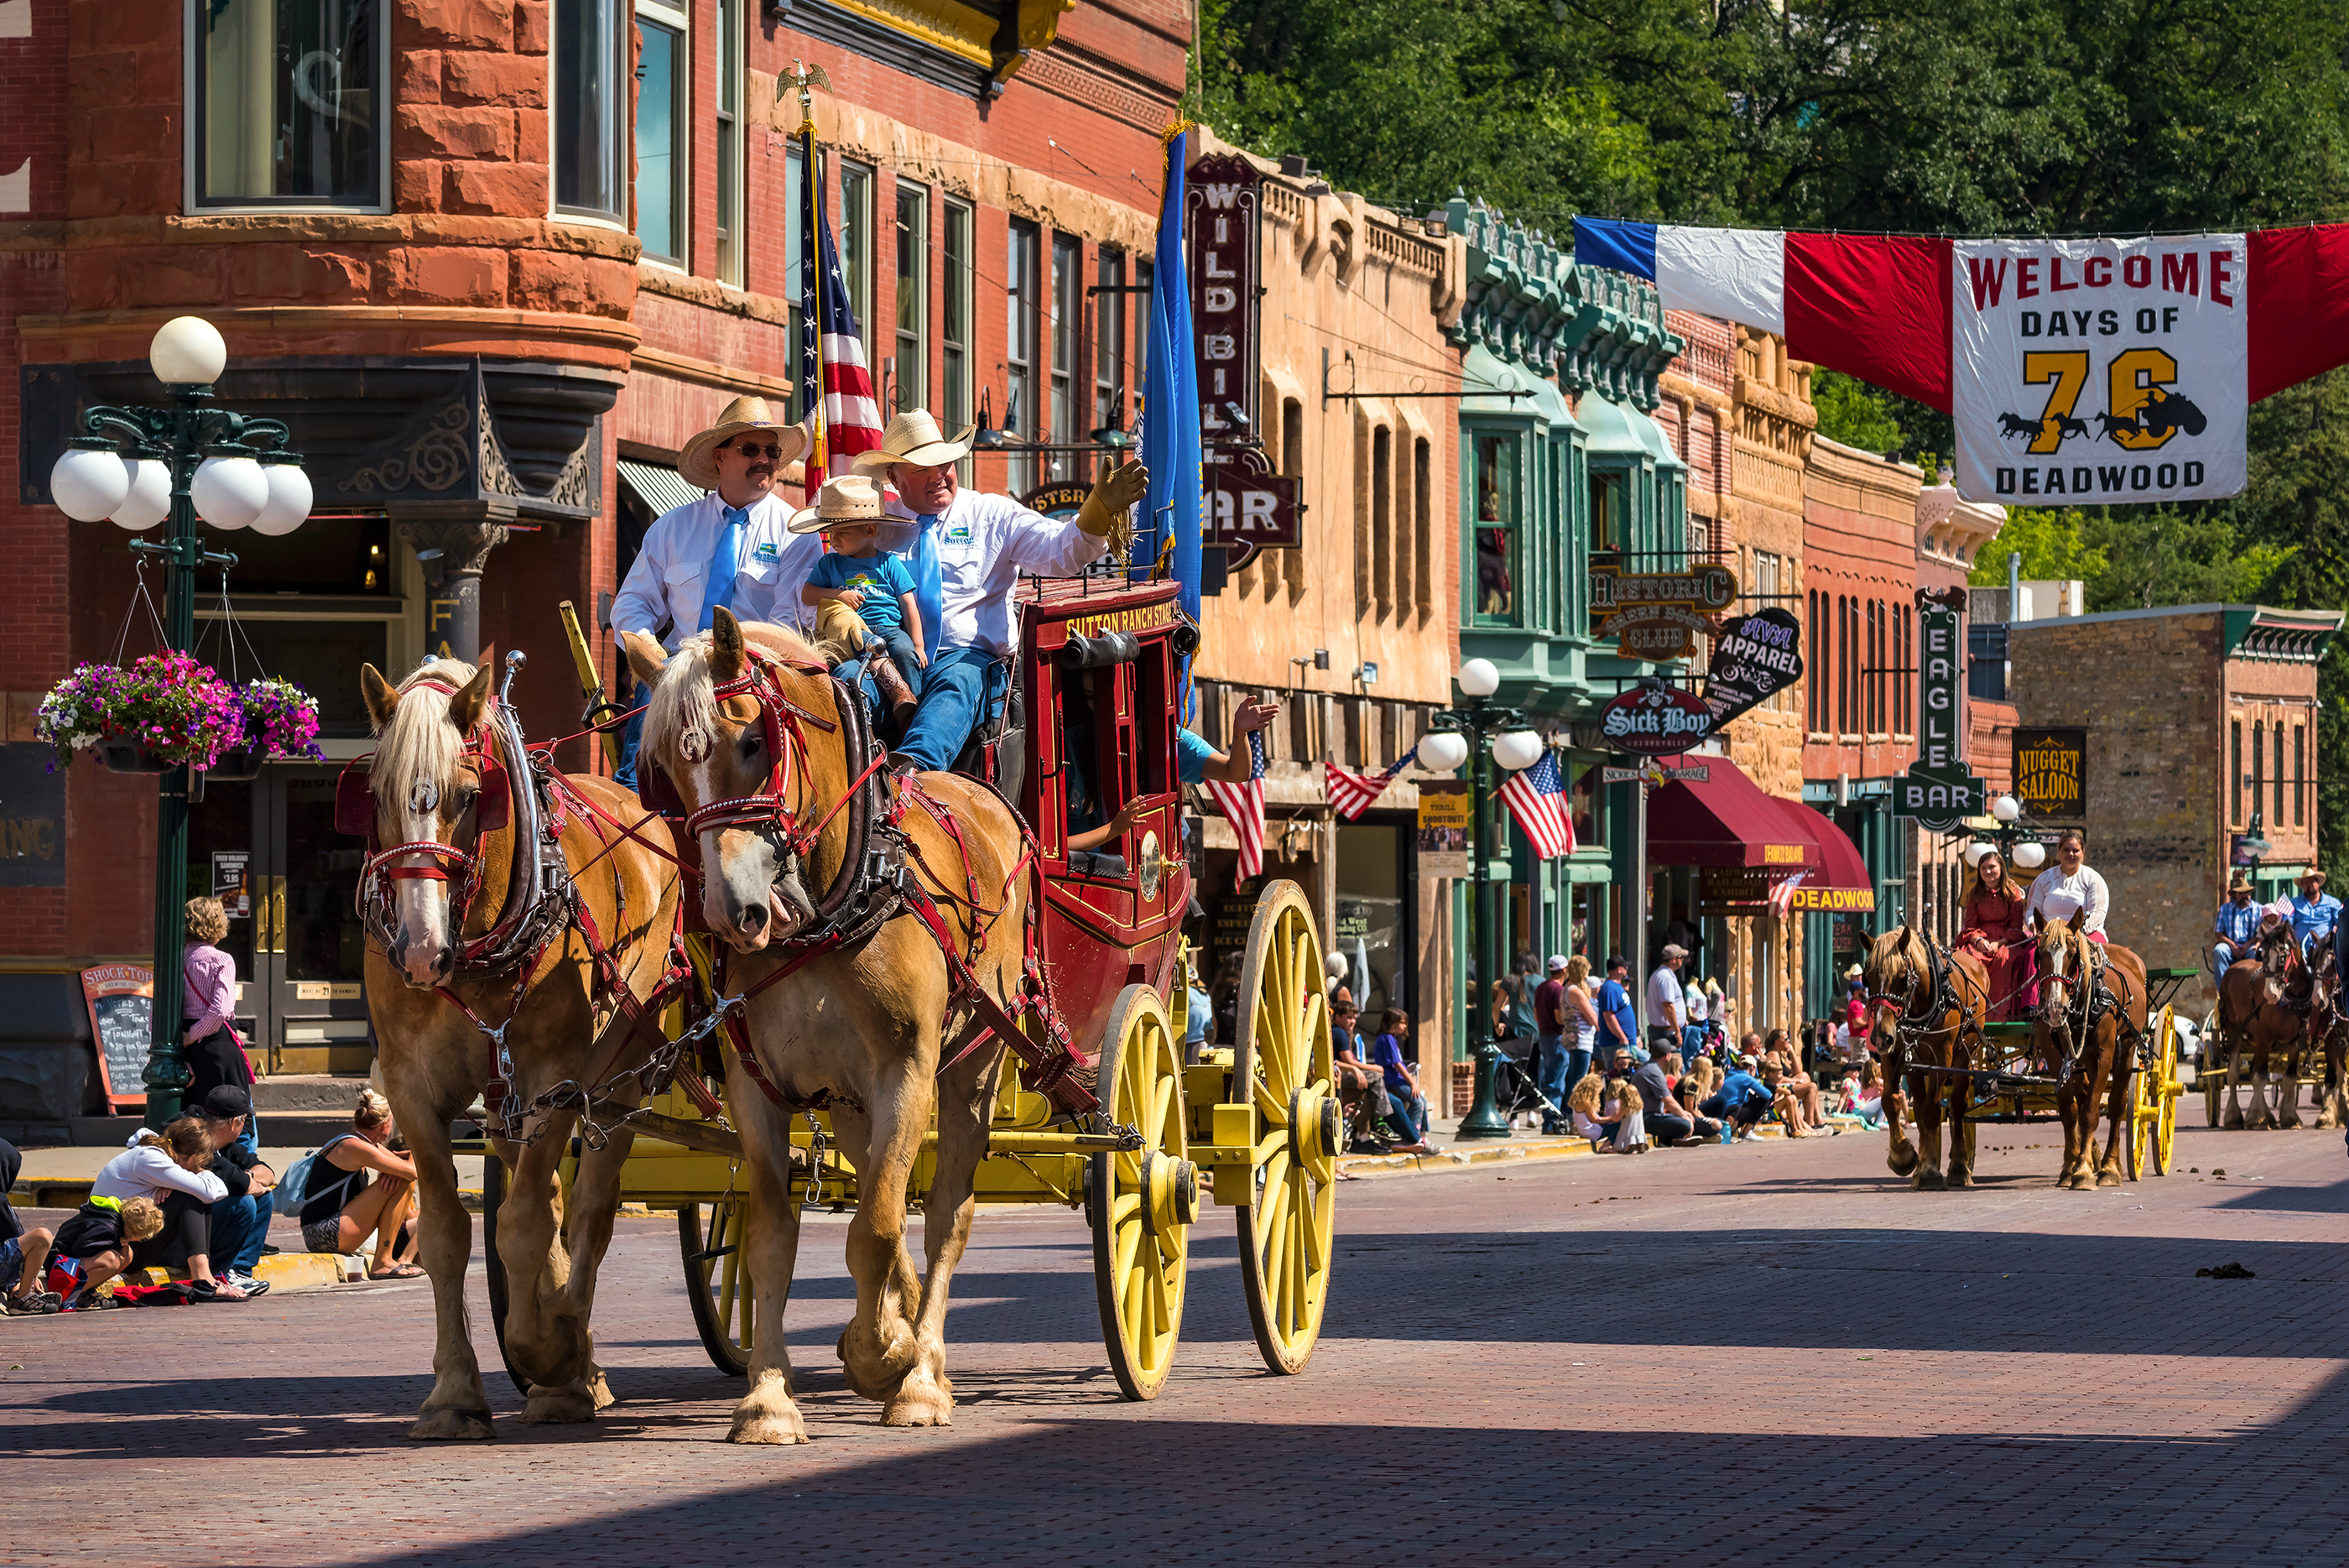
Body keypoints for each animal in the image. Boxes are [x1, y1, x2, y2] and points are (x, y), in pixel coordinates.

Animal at [352, 657, 681, 1436]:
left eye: (472, 797)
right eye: (374, 793)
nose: (419, 952)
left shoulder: (556, 1075)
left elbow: (526, 1224)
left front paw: (546, 1351)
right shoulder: (410, 1086)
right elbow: (448, 1231)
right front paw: (453, 1392)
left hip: (621, 1067)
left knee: (590, 1205)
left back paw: (568, 1353)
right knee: (554, 1195)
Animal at [624, 610, 1038, 1446]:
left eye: (754, 742)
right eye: (668, 772)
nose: (733, 913)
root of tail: (988, 797)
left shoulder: (907, 1071)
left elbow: (875, 1226)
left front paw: (889, 1358)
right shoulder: (757, 1087)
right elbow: (773, 1238)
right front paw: (769, 1398)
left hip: (972, 1067)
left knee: (945, 1214)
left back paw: (923, 1369)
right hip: (850, 1100)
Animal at [1860, 919, 1992, 1187]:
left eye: (1903, 977)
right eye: (1866, 979)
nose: (1879, 1037)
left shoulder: (1943, 1056)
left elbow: (1932, 1111)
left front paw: (1930, 1171)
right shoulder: (1894, 1055)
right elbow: (1890, 1102)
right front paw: (1904, 1157)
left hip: (1964, 1056)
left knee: (1957, 1106)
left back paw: (1959, 1167)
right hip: (1916, 1068)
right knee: (1919, 1109)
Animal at [2039, 905, 2151, 1187]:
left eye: (2072, 955)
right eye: (2040, 954)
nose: (2055, 1009)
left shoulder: (2103, 1055)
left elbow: (2091, 1111)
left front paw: (2083, 1171)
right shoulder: (2056, 1059)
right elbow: (2070, 1112)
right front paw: (2071, 1166)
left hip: (2127, 1049)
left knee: (2116, 1106)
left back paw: (2110, 1166)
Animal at [2217, 910, 2330, 1131]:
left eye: (2283, 957)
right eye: (2262, 956)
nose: (2269, 994)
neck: (2291, 999)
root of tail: (2233, 967)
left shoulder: (2295, 1042)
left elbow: (2289, 1077)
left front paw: (2290, 1118)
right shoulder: (2264, 1038)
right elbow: (2259, 1076)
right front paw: (2256, 1118)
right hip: (2234, 1032)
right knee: (2234, 1074)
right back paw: (2234, 1117)